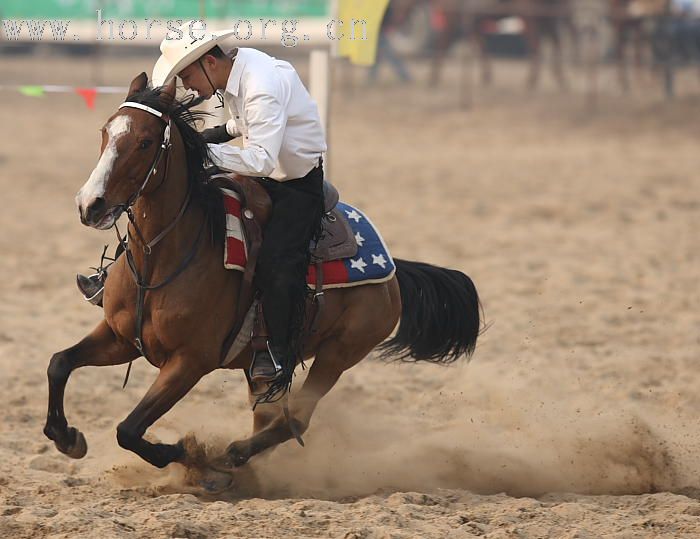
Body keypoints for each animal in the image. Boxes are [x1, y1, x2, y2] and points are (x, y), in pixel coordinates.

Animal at [43, 73, 482, 480]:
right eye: (105, 131)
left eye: (146, 142)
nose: (90, 204)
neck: (161, 262)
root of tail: (392, 270)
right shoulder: (120, 339)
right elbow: (59, 363)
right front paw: (67, 437)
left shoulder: (190, 361)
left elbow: (129, 429)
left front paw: (188, 455)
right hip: (261, 367)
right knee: (271, 418)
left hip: (339, 353)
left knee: (296, 420)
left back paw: (228, 459)